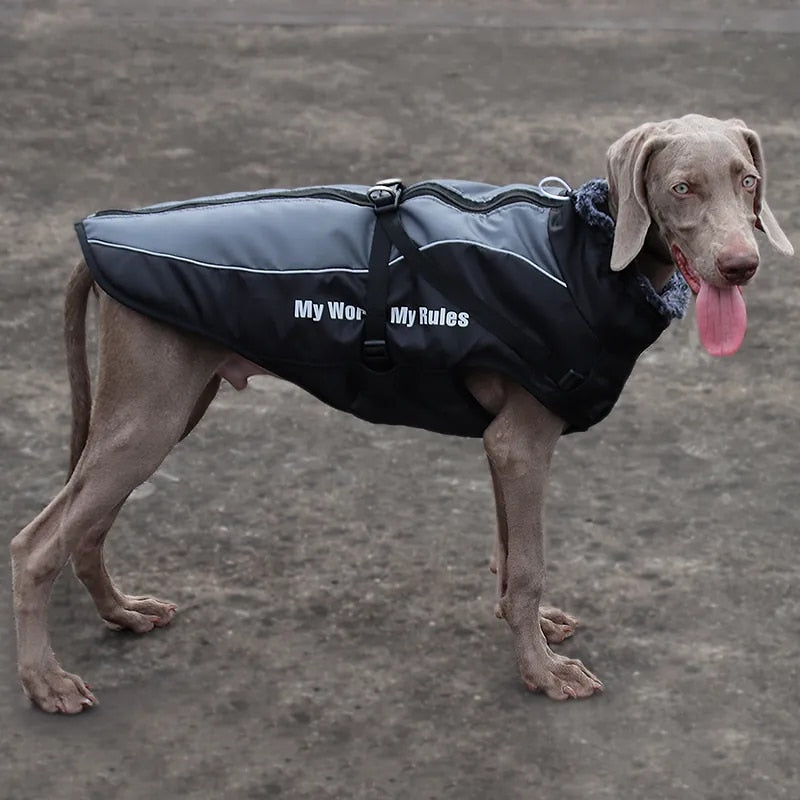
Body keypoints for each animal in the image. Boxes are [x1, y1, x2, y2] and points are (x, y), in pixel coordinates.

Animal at [7, 114, 792, 712]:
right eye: (682, 188)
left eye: (748, 182)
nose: (741, 265)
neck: (586, 254)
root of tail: (97, 235)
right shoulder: (522, 442)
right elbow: (529, 564)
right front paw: (541, 673)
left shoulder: (502, 443)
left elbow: (510, 555)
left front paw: (530, 630)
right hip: (150, 413)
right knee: (35, 543)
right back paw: (46, 682)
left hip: (168, 406)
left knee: (86, 525)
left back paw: (122, 612)